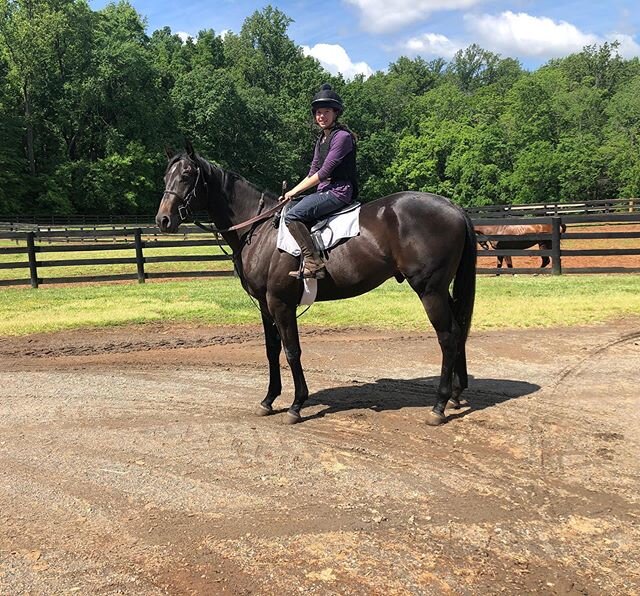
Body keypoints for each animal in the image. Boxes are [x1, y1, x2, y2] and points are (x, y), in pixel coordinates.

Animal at [155, 144, 476, 424]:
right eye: (166, 176)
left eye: (187, 175)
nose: (163, 220)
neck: (259, 230)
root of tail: (453, 206)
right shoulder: (265, 305)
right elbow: (271, 350)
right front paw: (269, 400)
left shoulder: (281, 303)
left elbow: (291, 350)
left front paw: (297, 404)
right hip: (440, 291)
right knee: (458, 330)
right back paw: (455, 395)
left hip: (429, 290)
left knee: (448, 336)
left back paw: (439, 405)